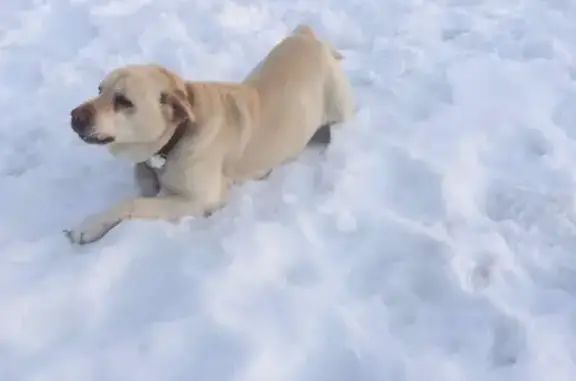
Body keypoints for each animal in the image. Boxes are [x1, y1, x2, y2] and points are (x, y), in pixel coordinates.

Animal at [66, 24, 356, 243]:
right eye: (99, 89)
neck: (176, 138)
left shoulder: (199, 199)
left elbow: (131, 203)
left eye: (123, 101)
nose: (74, 116)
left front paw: (87, 226)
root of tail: (307, 35)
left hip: (339, 109)